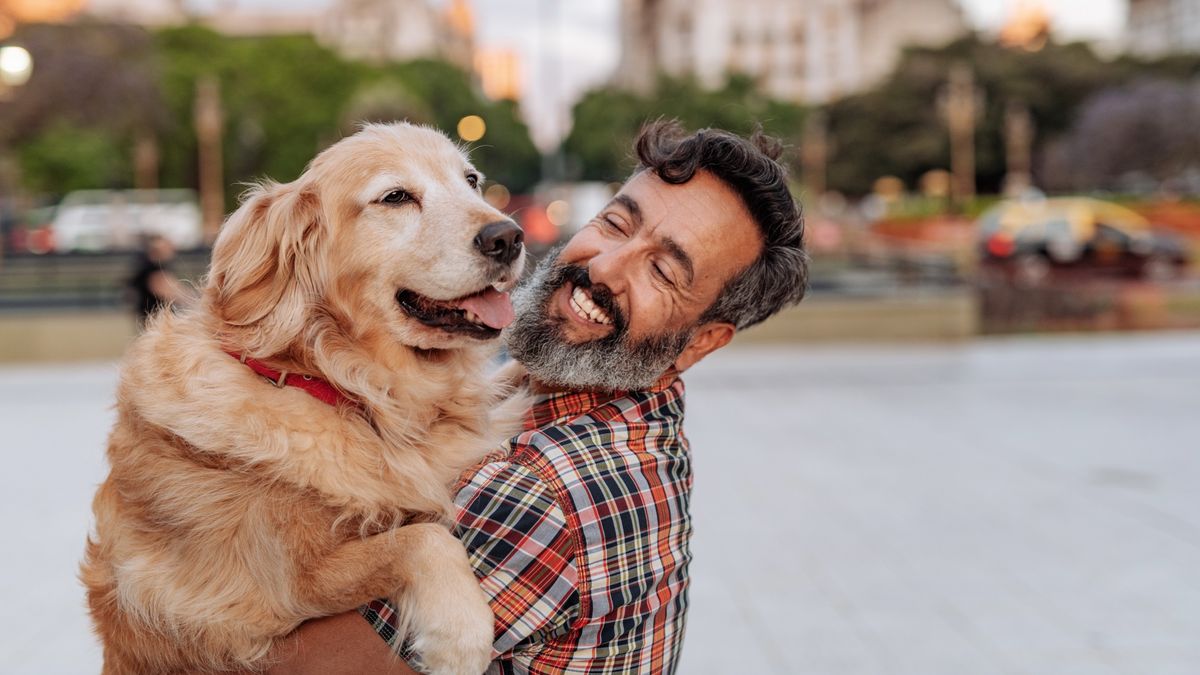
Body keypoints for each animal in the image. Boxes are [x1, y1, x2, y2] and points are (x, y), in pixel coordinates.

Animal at [82, 123, 528, 667]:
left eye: (471, 181)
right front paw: (460, 635)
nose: (508, 237)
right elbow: (422, 538)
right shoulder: (270, 588)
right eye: (395, 197)